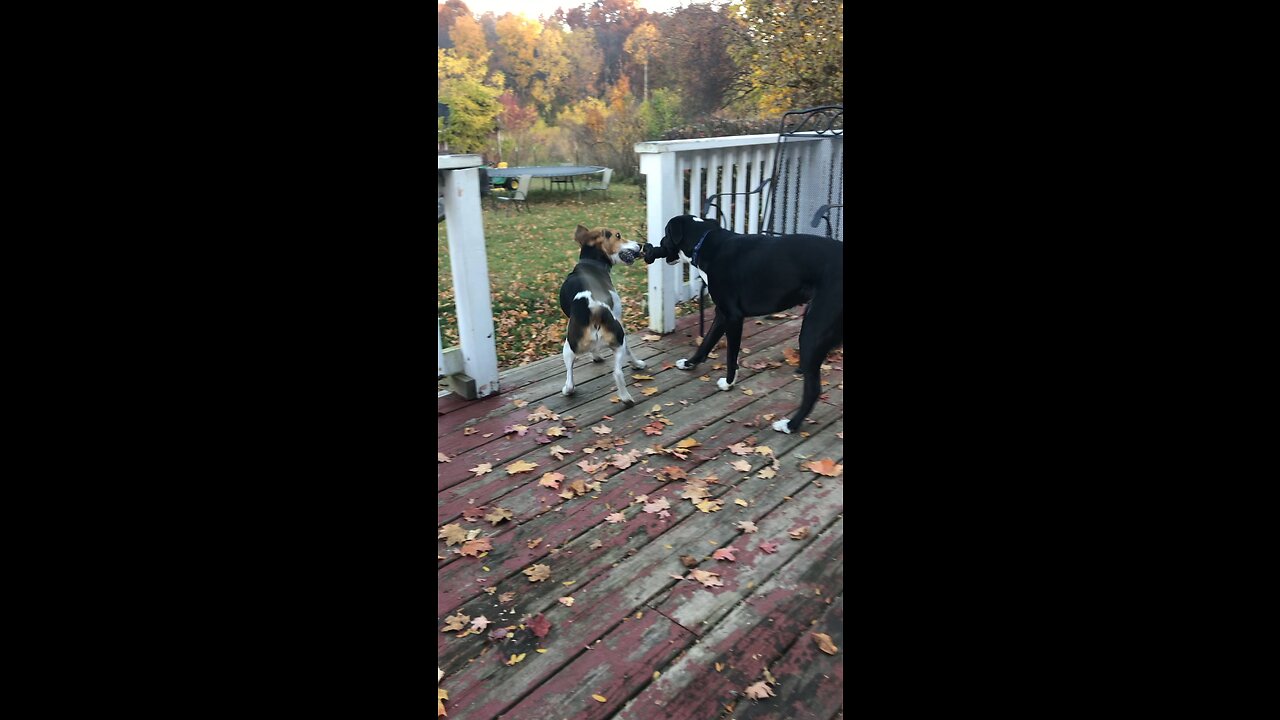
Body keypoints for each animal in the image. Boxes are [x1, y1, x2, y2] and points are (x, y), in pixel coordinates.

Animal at [558, 224, 645, 404]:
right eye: (618, 235)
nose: (640, 245)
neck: (591, 263)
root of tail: (594, 310)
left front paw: (596, 355)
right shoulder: (620, 318)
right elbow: (630, 350)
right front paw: (637, 364)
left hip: (568, 347)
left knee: (570, 384)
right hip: (618, 340)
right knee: (618, 372)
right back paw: (626, 398)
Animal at [640, 213, 839, 430]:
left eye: (667, 233)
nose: (658, 243)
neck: (706, 243)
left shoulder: (733, 317)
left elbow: (730, 356)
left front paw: (728, 383)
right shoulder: (721, 314)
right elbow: (706, 343)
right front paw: (689, 363)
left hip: (811, 332)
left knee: (813, 389)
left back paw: (790, 425)